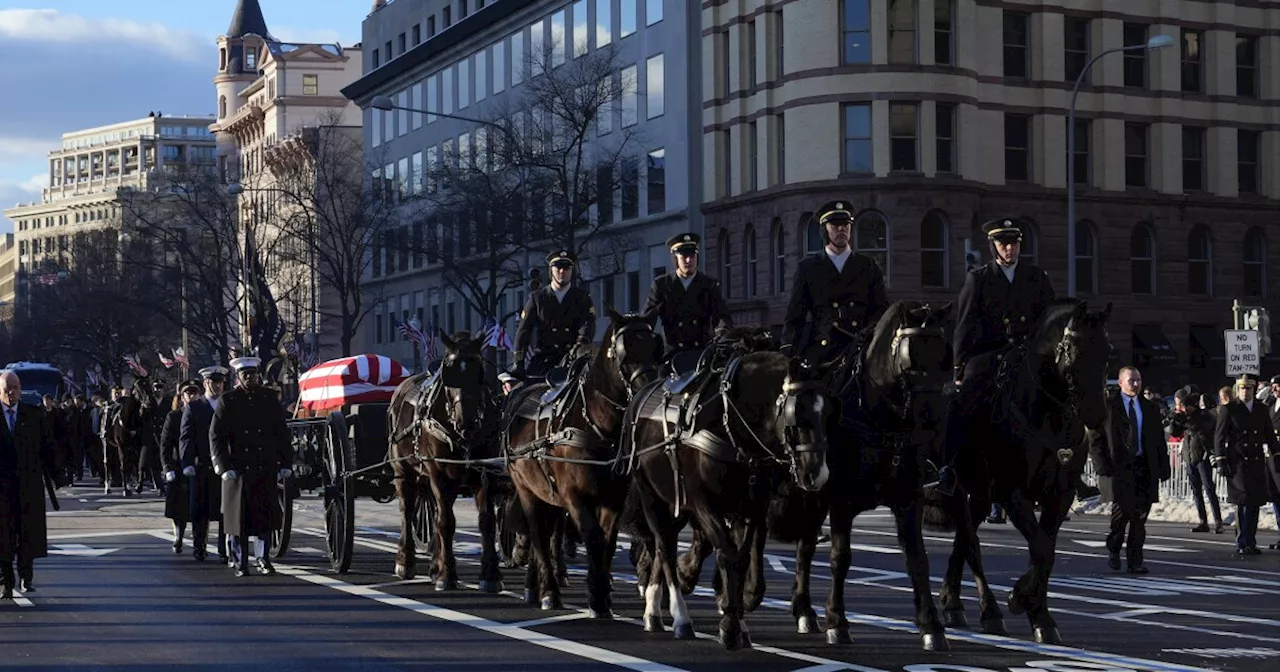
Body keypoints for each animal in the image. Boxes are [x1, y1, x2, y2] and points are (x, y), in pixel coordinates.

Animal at [921, 298, 1111, 645]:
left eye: (1107, 351)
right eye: (1074, 351)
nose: (1096, 414)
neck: (1049, 417)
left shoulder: (1059, 496)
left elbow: (1046, 551)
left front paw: (1040, 615)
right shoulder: (1013, 492)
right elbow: (1040, 548)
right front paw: (1020, 598)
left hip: (980, 495)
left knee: (963, 542)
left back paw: (953, 602)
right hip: (957, 488)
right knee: (971, 545)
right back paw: (989, 612)